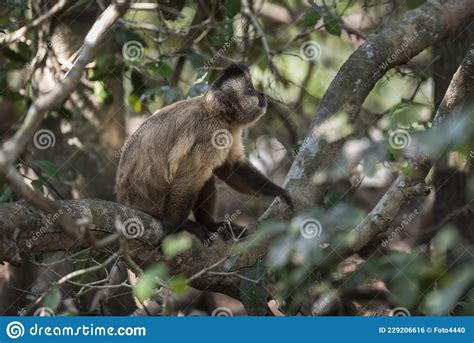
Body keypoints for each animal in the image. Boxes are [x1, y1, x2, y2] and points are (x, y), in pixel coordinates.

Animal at [115, 63, 292, 243]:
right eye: (250, 89)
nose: (261, 93)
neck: (217, 114)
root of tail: (125, 200)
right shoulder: (210, 135)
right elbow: (186, 180)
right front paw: (175, 227)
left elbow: (229, 168)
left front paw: (276, 190)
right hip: (152, 206)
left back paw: (209, 224)